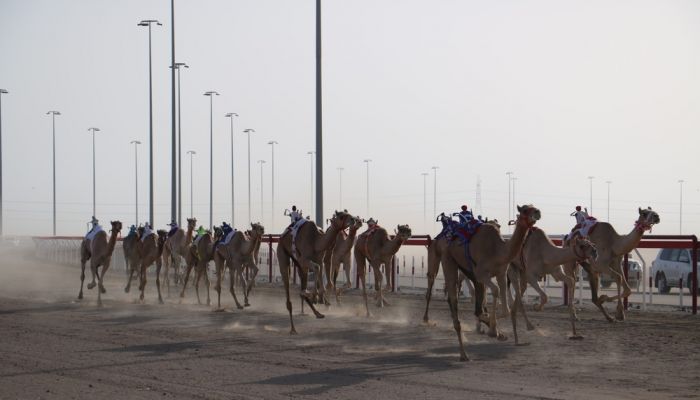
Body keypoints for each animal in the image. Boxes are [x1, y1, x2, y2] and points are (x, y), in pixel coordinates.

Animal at [442, 205, 540, 360]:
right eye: (525, 210)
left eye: (533, 206)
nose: (537, 212)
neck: (498, 251)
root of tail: (451, 237)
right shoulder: (482, 274)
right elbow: (495, 291)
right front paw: (493, 330)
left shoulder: (501, 273)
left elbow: (505, 309)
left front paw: (495, 330)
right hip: (449, 259)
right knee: (453, 298)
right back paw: (463, 354)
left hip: (470, 272)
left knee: (477, 302)